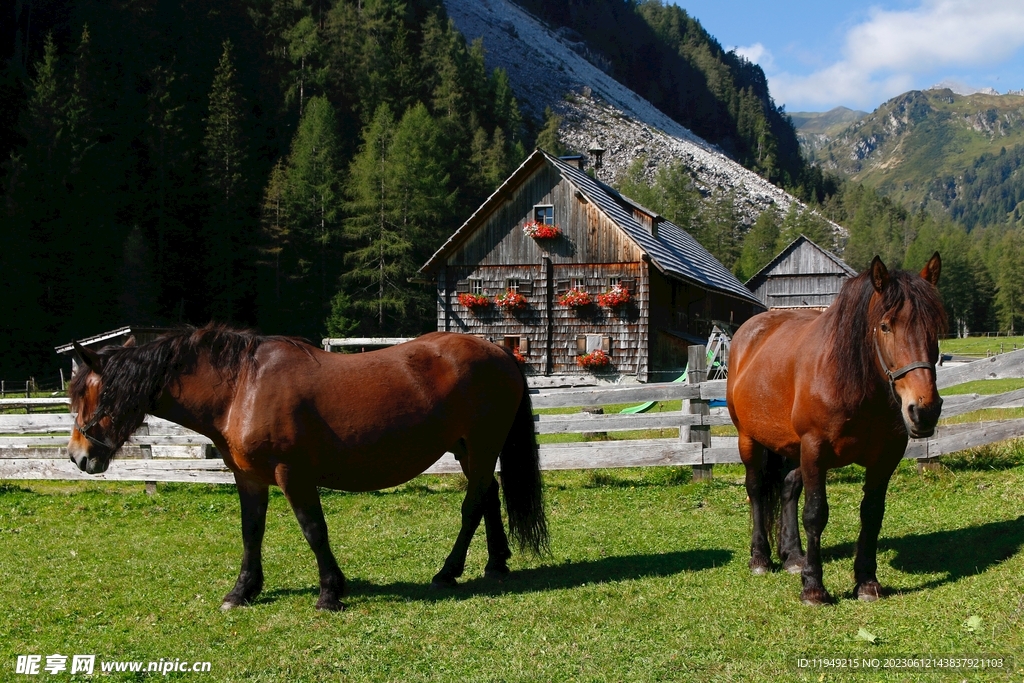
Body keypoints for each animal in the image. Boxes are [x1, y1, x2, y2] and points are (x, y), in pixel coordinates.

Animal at [67, 325, 548, 611]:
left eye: (93, 394)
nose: (78, 457)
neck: (242, 387)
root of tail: (499, 351)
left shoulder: (292, 475)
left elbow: (314, 530)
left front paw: (330, 592)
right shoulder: (250, 478)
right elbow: (251, 532)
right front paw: (242, 590)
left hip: (481, 446)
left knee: (471, 507)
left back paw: (448, 572)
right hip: (469, 450)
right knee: (487, 497)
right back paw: (496, 564)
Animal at [726, 253, 945, 605]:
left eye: (935, 328)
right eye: (886, 326)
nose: (924, 411)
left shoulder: (885, 458)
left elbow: (872, 514)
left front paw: (866, 581)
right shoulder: (815, 450)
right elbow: (815, 514)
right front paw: (813, 587)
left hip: (793, 448)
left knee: (787, 490)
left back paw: (792, 556)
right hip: (749, 439)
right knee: (756, 488)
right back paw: (760, 558)